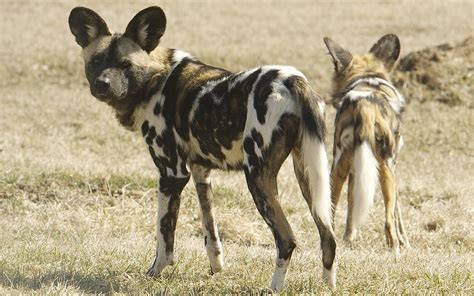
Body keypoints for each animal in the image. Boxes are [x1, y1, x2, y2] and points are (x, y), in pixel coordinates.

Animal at [69, 6, 336, 292]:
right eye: (96, 61)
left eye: (126, 65)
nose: (102, 84)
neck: (156, 79)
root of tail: (292, 79)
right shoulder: (200, 173)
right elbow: (211, 232)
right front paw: (216, 269)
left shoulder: (172, 174)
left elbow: (164, 239)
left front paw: (153, 274)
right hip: (309, 178)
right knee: (328, 237)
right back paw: (327, 287)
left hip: (257, 178)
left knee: (286, 239)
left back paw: (273, 288)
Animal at [324, 33, 410, 253]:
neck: (367, 77)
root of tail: (364, 104)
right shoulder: (393, 165)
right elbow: (397, 212)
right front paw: (405, 242)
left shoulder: (355, 169)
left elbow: (352, 206)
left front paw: (349, 238)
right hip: (386, 168)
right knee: (388, 220)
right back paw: (395, 249)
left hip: (337, 167)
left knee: (329, 211)